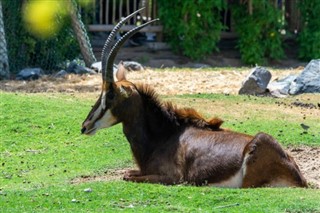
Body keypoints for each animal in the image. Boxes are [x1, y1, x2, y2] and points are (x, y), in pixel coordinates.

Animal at [81, 8, 306, 188]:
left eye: (110, 94)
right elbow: (128, 172)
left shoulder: (173, 178)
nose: (85, 126)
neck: (164, 135)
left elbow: (127, 176)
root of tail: (298, 176)